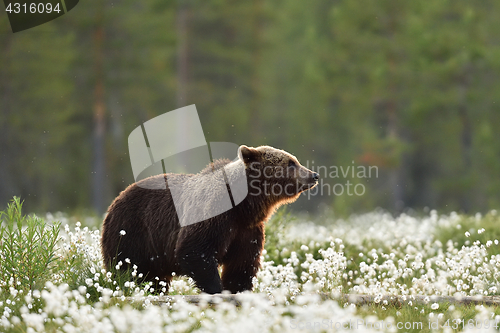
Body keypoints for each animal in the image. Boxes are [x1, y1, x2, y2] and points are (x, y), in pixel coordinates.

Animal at [101, 145, 318, 294]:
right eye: (291, 163)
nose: (314, 175)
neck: (244, 206)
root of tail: (116, 199)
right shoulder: (214, 214)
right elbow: (195, 250)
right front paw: (217, 289)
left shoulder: (247, 229)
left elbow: (242, 262)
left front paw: (239, 290)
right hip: (132, 231)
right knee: (128, 267)